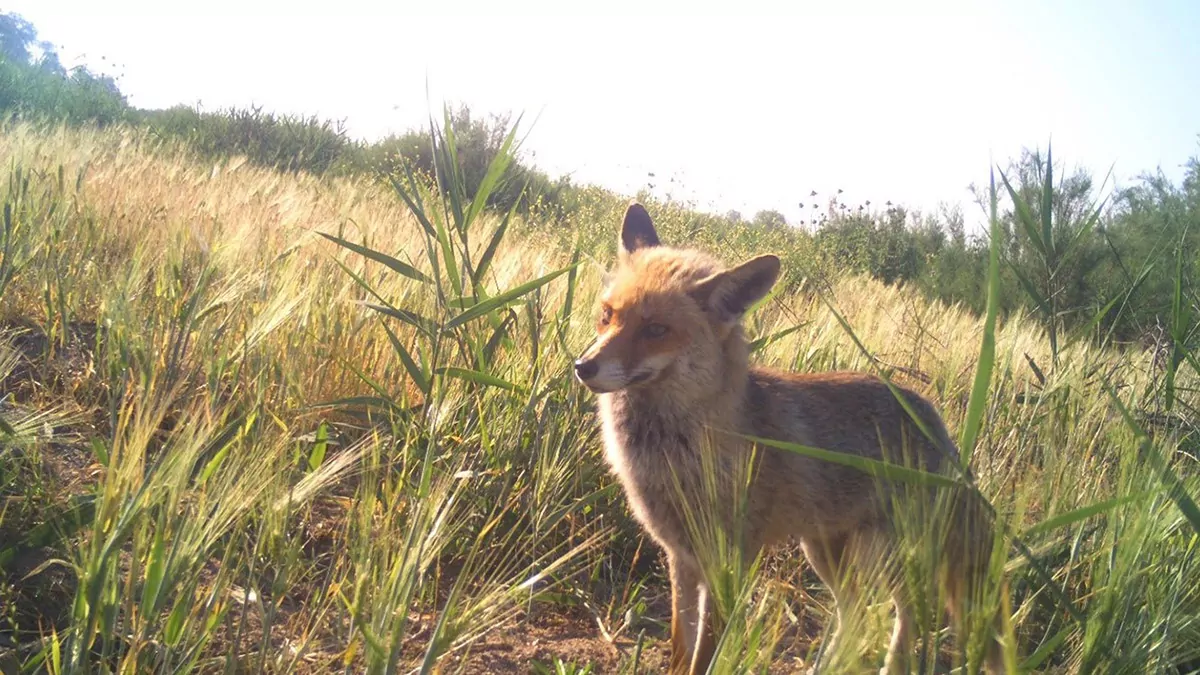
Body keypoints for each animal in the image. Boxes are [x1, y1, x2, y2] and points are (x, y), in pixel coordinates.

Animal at [576, 204, 1008, 672]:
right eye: (607, 315)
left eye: (656, 329)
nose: (583, 367)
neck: (679, 454)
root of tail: (937, 425)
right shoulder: (681, 556)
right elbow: (679, 646)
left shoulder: (730, 561)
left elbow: (706, 653)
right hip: (824, 551)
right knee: (856, 613)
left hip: (887, 557)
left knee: (909, 613)